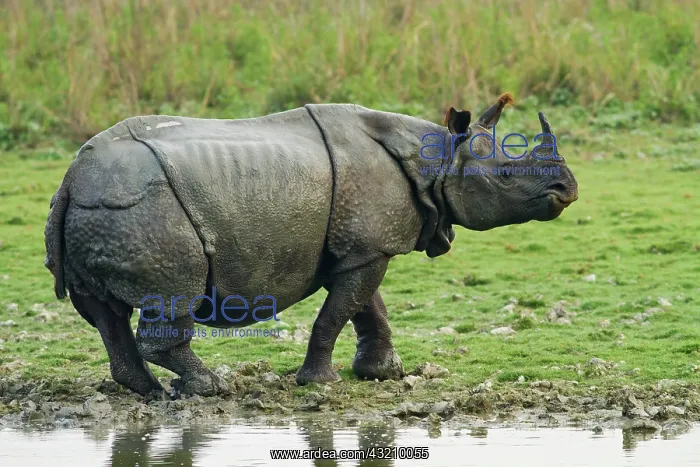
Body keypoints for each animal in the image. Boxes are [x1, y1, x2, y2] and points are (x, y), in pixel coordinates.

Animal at [44, 94, 578, 397]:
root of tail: (71, 177)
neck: (437, 159)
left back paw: (149, 393)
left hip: (103, 211)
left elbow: (368, 307)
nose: (567, 190)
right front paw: (320, 383)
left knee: (105, 314)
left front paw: (384, 374)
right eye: (506, 176)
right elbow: (337, 313)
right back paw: (209, 389)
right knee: (173, 297)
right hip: (145, 211)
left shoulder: (365, 245)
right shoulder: (367, 248)